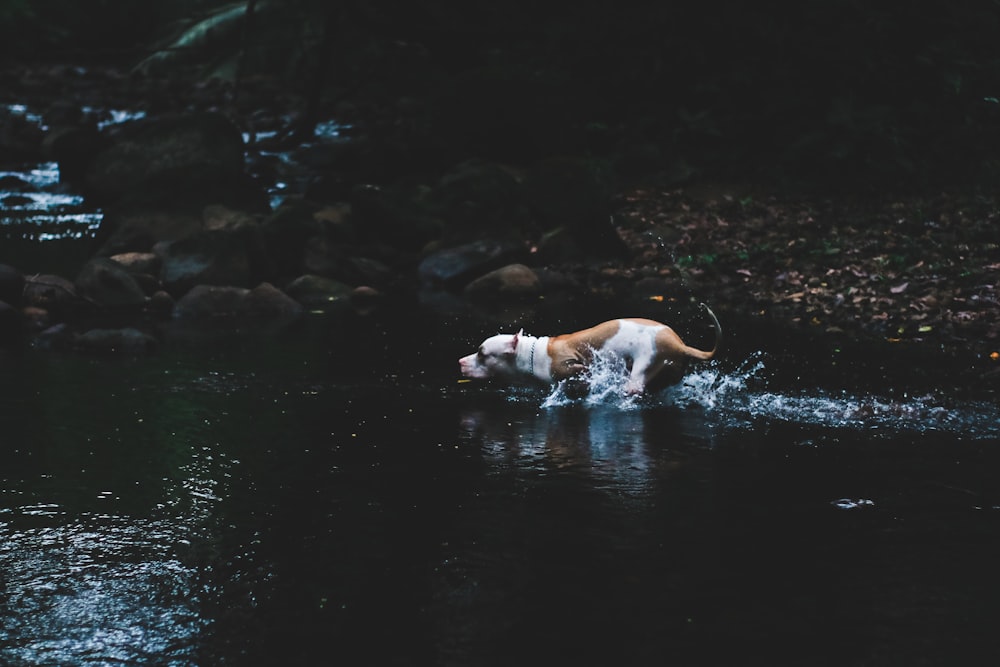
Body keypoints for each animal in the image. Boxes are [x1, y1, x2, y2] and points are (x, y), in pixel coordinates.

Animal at [458, 304, 724, 396]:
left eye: (482, 353)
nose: (460, 361)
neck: (531, 355)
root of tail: (679, 344)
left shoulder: (571, 365)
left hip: (644, 364)